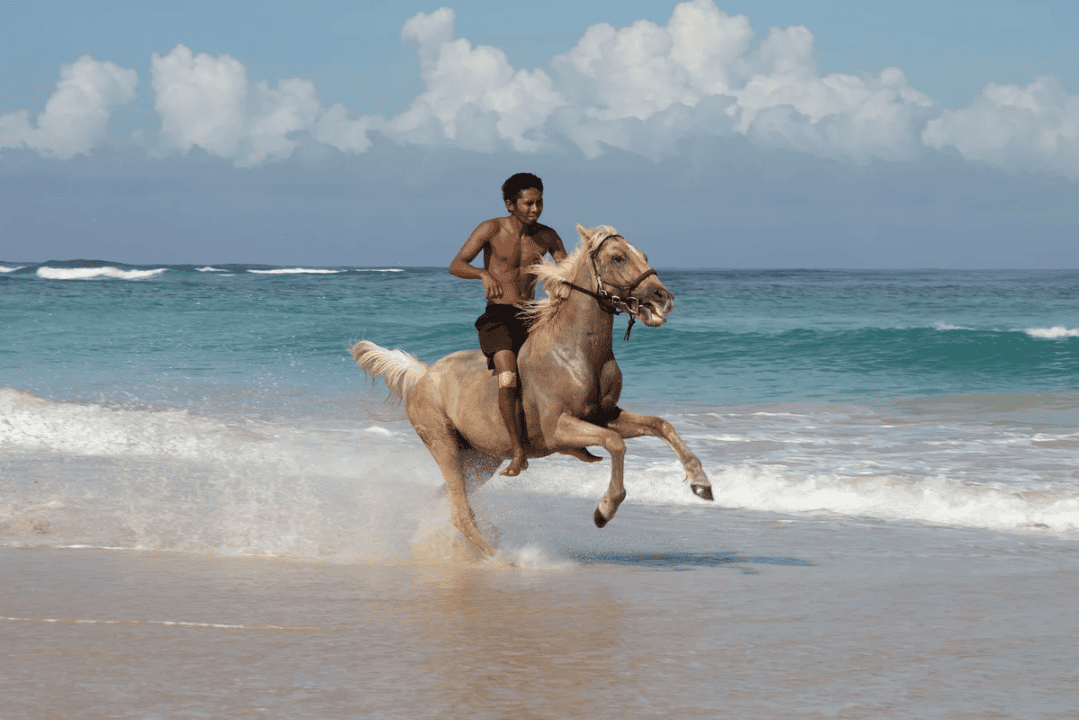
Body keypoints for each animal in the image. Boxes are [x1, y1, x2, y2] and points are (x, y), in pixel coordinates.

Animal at [351, 223, 713, 556]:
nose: (663, 299)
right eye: (617, 257)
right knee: (460, 512)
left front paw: (701, 484)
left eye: (645, 256)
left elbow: (660, 425)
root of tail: (424, 374)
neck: (575, 351)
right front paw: (604, 510)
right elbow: (615, 444)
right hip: (444, 446)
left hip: (481, 460)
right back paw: (502, 559)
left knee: (446, 501)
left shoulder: (605, 415)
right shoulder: (558, 429)